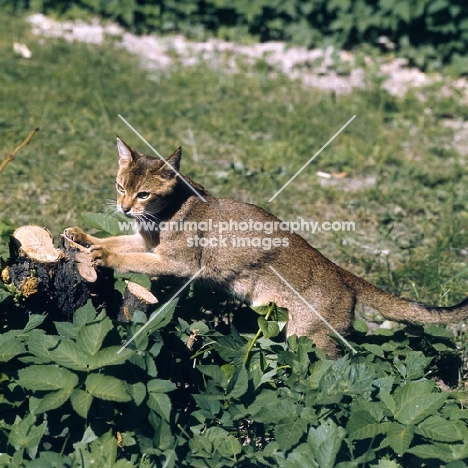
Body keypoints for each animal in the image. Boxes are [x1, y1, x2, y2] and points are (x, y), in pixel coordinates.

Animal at [65, 137, 468, 356]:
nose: (123, 207)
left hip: (308, 336)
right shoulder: (145, 241)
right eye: (120, 186)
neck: (166, 212)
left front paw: (103, 255)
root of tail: (342, 273)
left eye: (144, 193)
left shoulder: (179, 264)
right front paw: (82, 237)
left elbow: (130, 257)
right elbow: (118, 240)